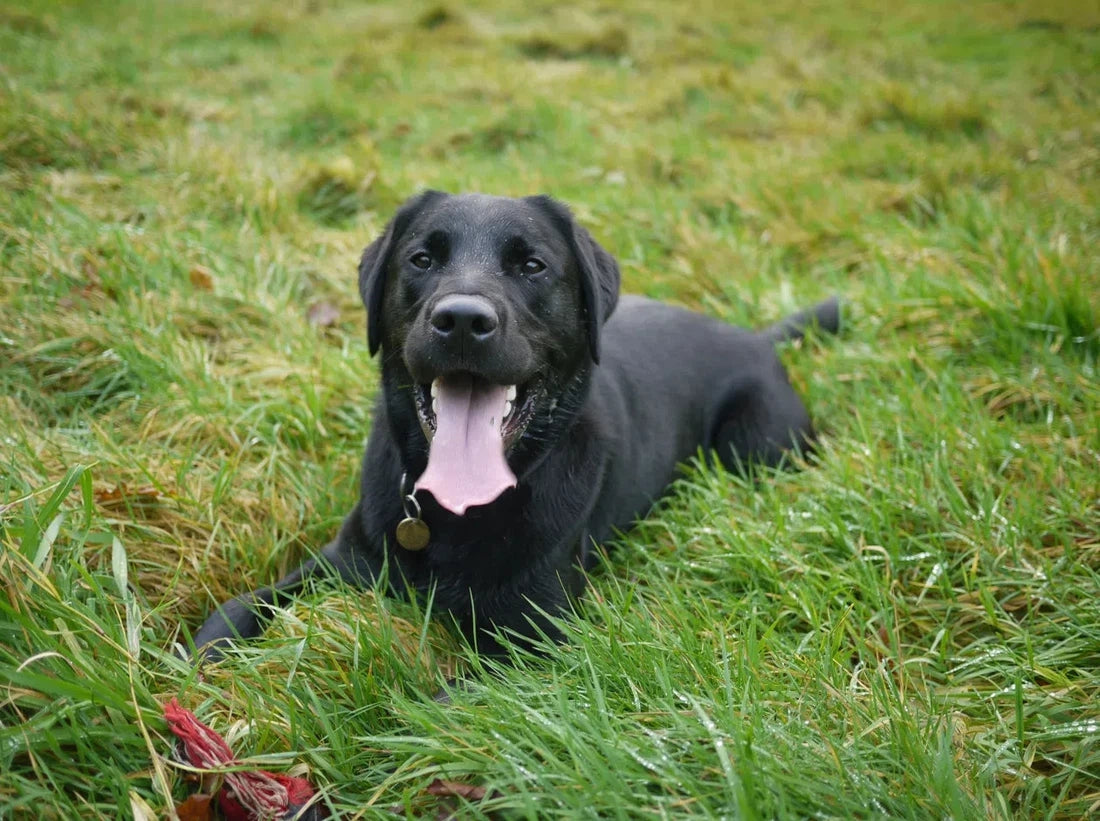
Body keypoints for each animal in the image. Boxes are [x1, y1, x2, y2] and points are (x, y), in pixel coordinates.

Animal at [193, 191, 836, 660]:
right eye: (421, 259)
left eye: (532, 266)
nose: (461, 320)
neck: (459, 509)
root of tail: (757, 338)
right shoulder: (345, 559)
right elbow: (240, 609)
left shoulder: (535, 636)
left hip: (759, 446)